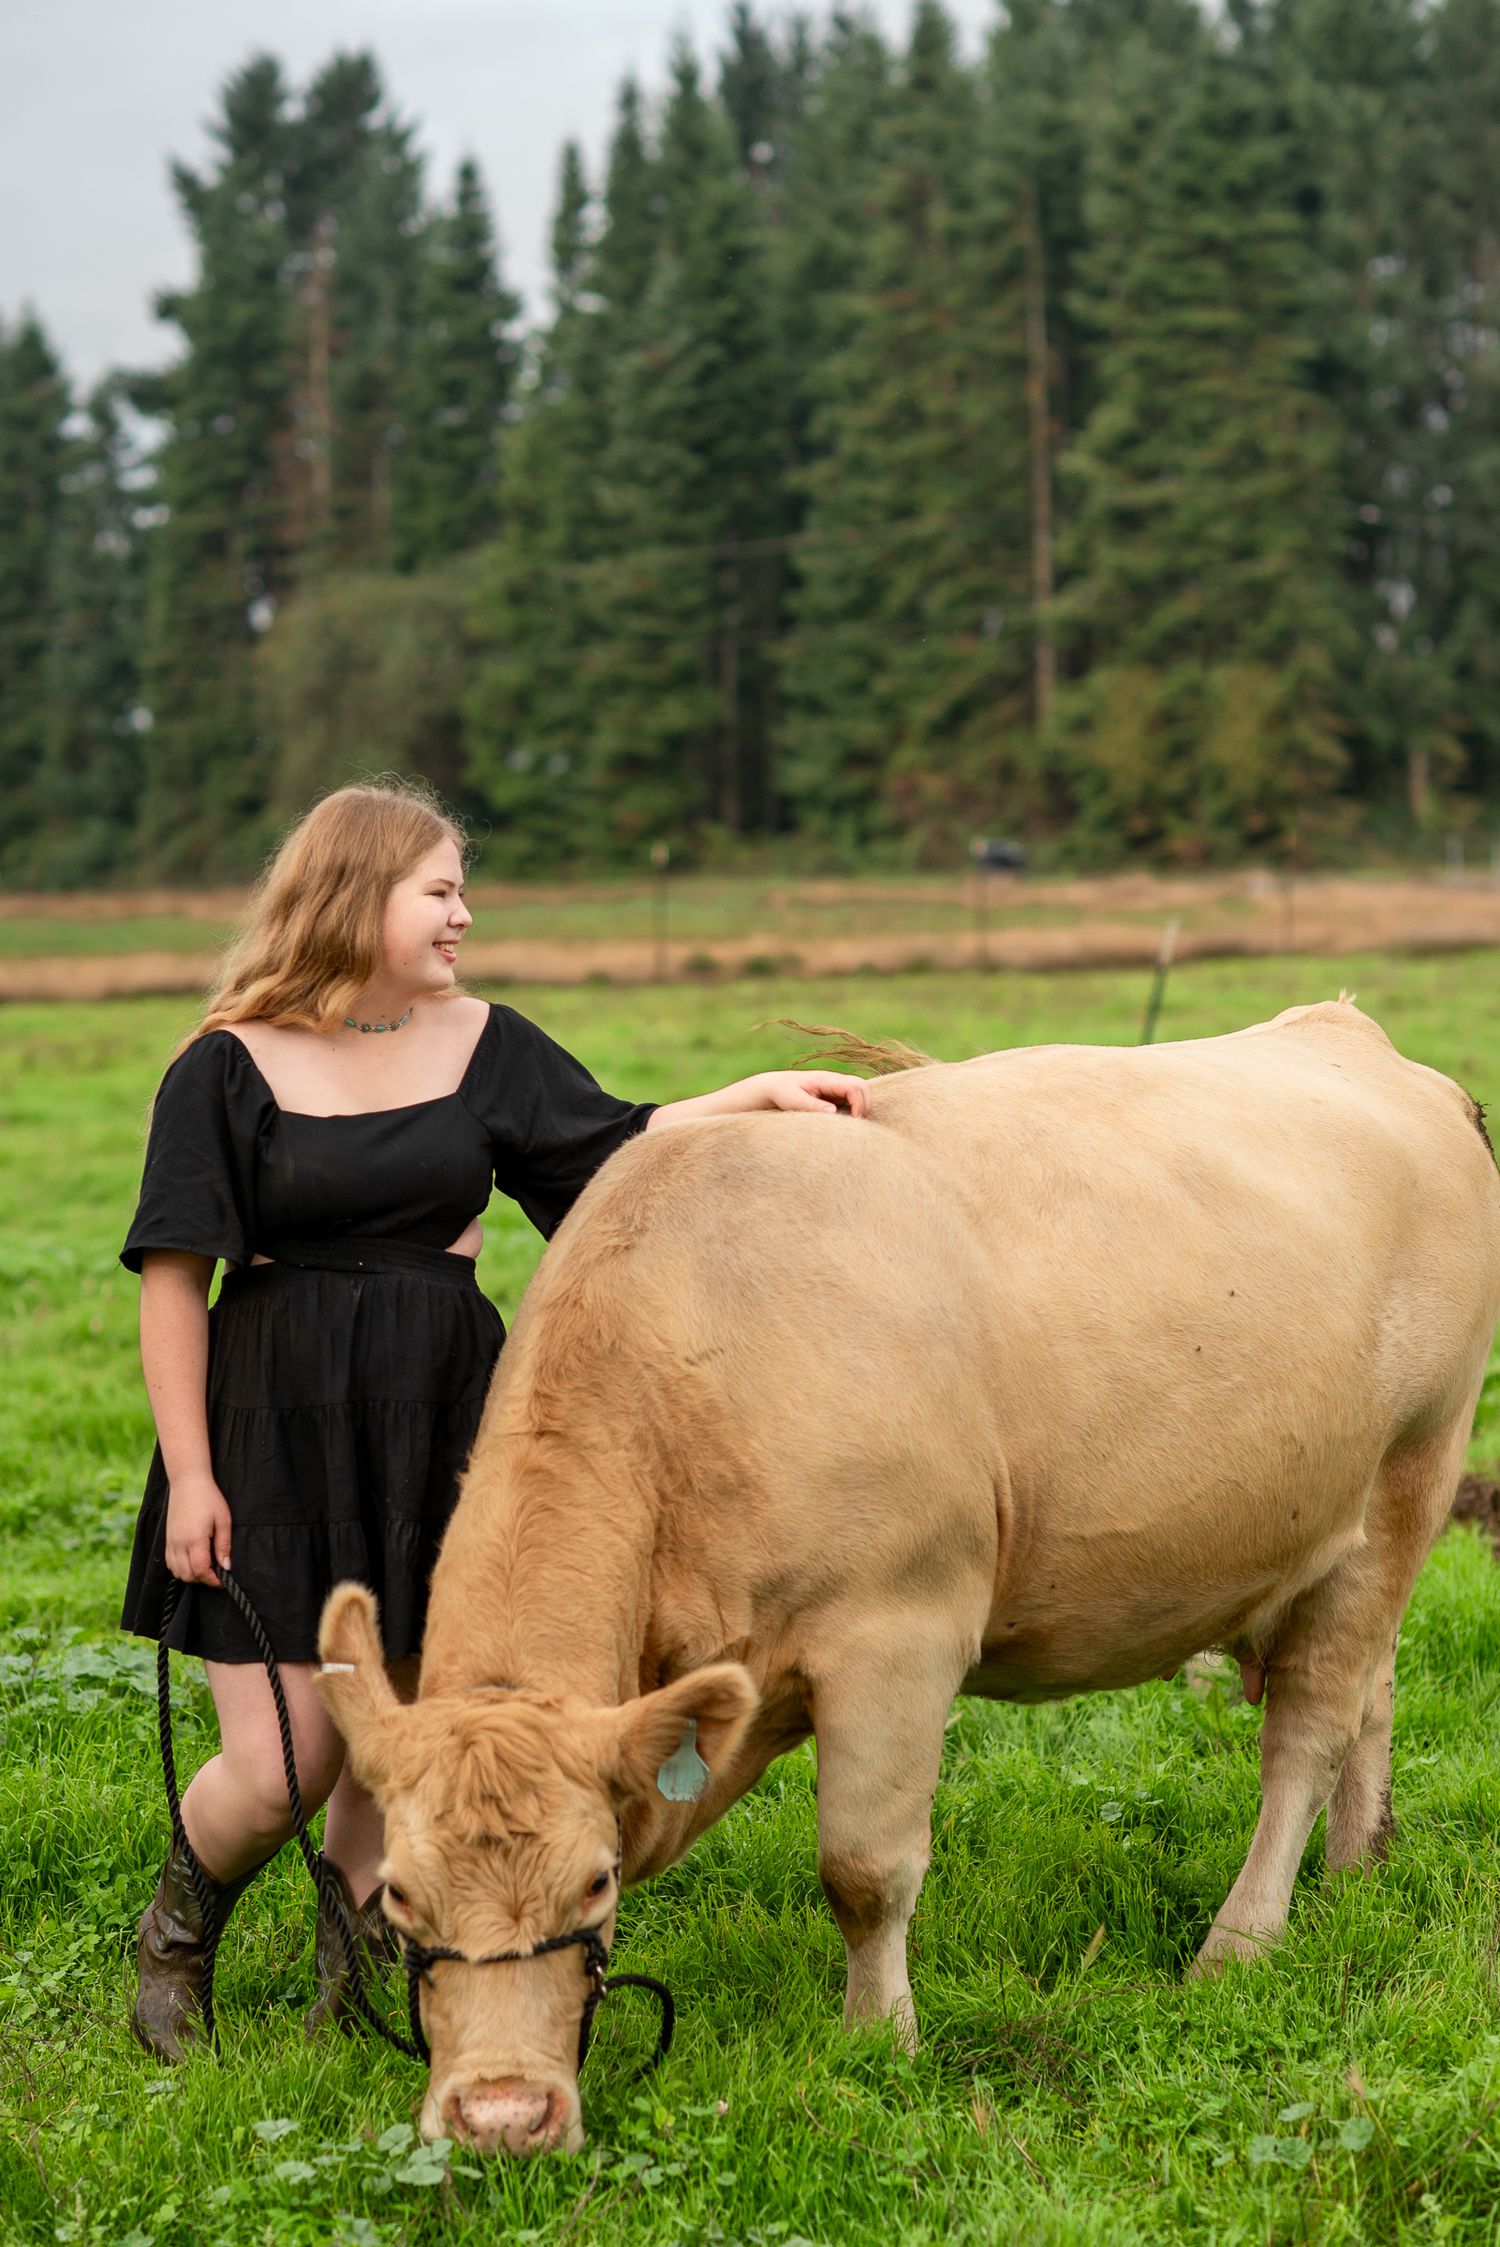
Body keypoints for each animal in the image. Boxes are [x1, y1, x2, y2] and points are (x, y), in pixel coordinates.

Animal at [316, 999, 1500, 2157]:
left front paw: (879, 2040)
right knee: (1370, 1690)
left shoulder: (898, 1633)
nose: (500, 2118)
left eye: (596, 1883)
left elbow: (864, 1870)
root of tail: (1347, 1030)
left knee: (1308, 1730)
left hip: (1412, 1473)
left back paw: (1242, 1940)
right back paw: (1357, 1870)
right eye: (402, 1901)